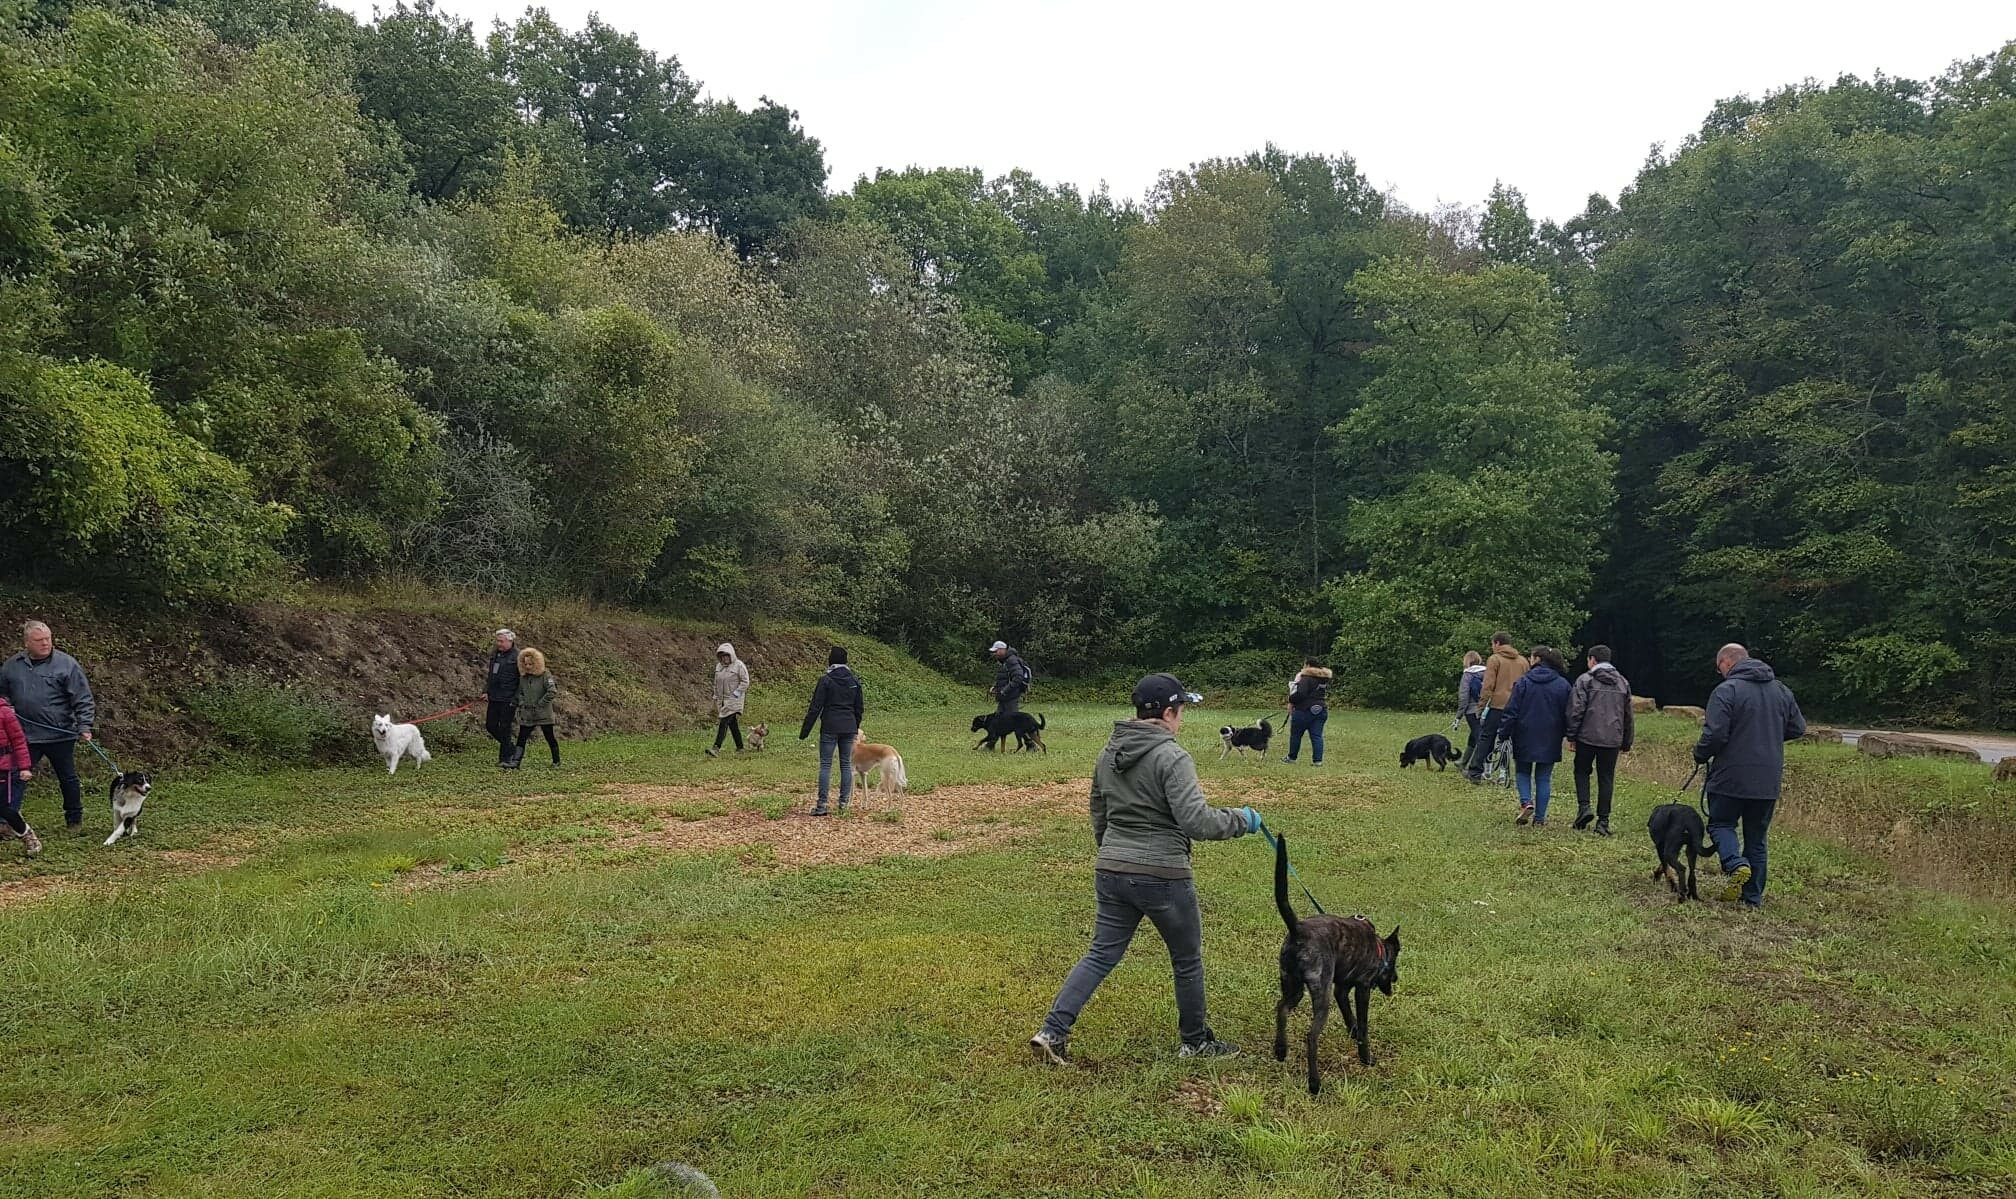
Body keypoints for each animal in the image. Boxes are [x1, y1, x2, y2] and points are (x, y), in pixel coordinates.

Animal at [1274, 834, 1403, 1096]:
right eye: (1394, 962)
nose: (1395, 978)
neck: (1378, 948)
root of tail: (1298, 930)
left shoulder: (1341, 989)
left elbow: (1349, 1016)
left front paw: (1352, 1033)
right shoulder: (1362, 989)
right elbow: (1363, 1024)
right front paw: (1366, 1056)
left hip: (1293, 986)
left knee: (1281, 1008)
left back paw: (1281, 1050)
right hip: (1320, 993)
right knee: (1311, 1036)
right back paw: (1314, 1083)